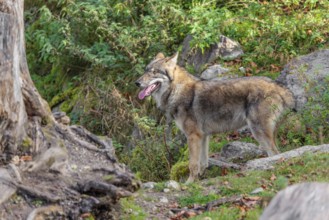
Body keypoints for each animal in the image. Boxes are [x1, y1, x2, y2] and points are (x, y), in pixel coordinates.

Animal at [135, 52, 294, 182]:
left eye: (154, 72)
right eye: (145, 70)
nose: (137, 82)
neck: (176, 91)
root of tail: (278, 85)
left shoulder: (193, 136)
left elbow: (193, 164)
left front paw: (188, 184)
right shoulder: (203, 136)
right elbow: (203, 163)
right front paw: (198, 181)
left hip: (258, 132)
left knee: (276, 154)